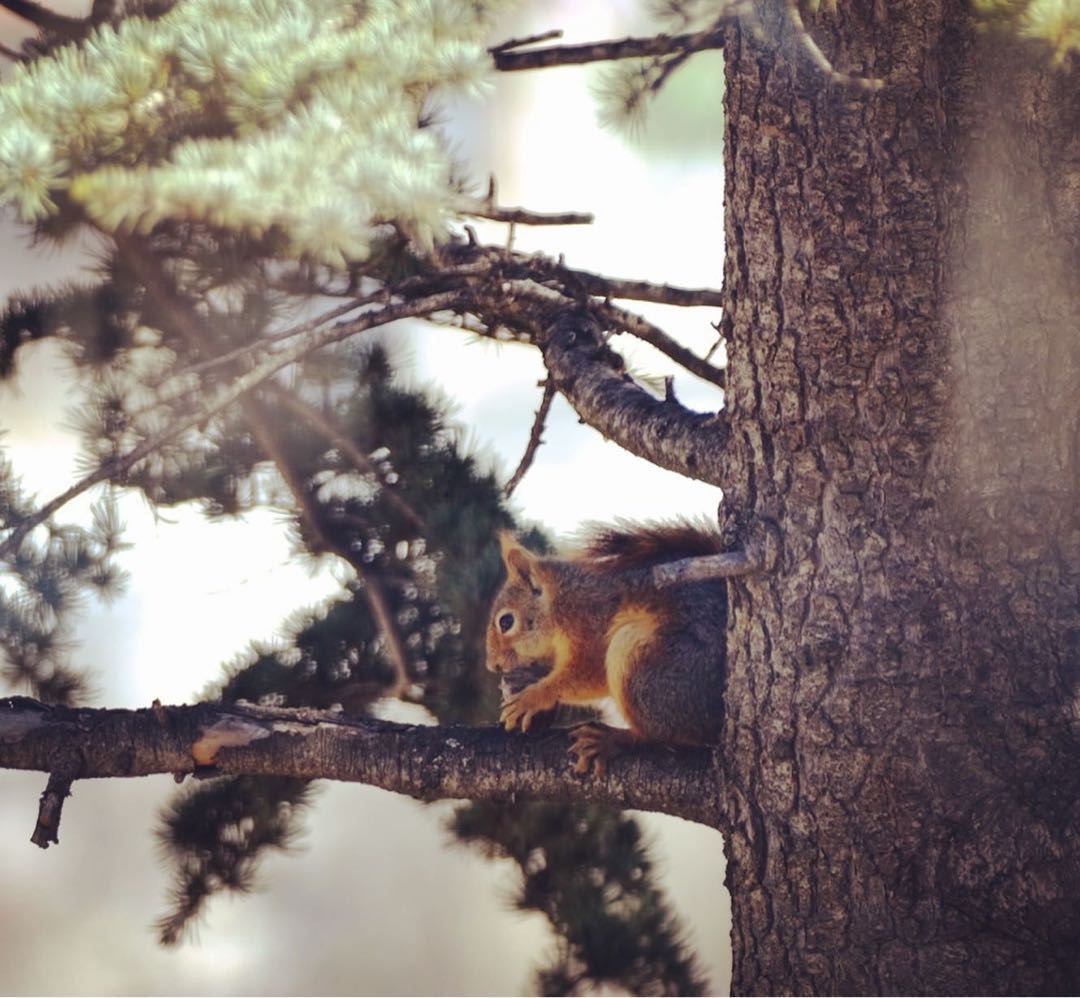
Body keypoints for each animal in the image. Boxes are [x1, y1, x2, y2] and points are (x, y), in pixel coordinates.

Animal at [485, 521, 727, 774]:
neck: (559, 601)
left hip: (649, 666)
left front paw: (532, 697)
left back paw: (611, 740)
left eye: (506, 622)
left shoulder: (591, 624)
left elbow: (588, 673)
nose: (493, 665)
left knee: (663, 735)